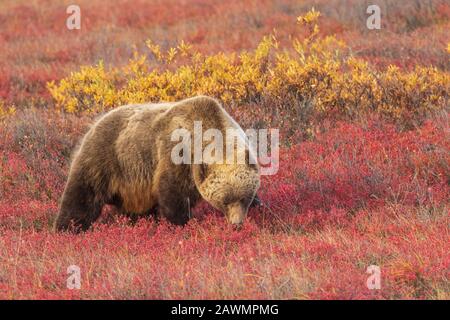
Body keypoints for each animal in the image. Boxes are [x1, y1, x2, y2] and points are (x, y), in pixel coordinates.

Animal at [54, 96, 262, 231]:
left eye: (245, 197)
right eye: (225, 200)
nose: (237, 224)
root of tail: (94, 123)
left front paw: (258, 204)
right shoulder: (176, 155)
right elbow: (173, 194)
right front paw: (182, 223)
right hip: (106, 158)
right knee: (82, 195)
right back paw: (67, 228)